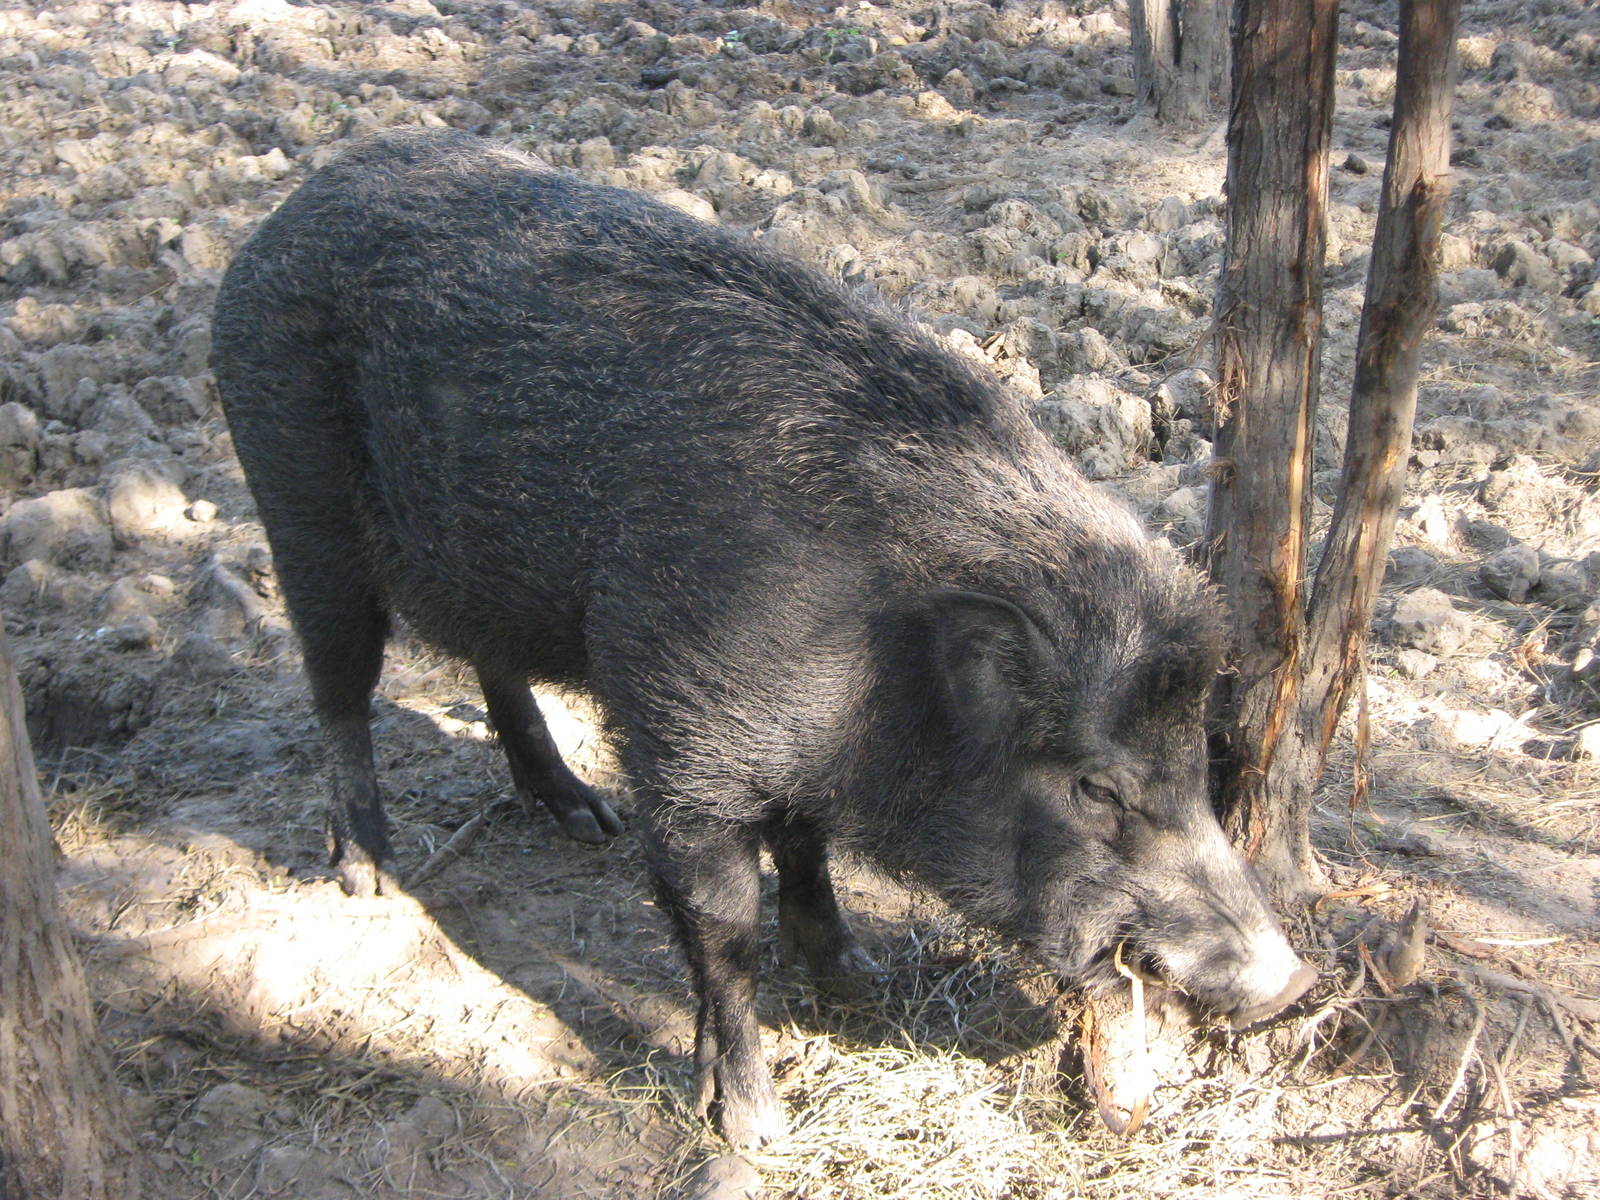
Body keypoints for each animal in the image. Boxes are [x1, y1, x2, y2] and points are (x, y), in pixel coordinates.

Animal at [212, 131, 1316, 1148]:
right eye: (1094, 785)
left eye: (1198, 756)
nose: (1288, 981)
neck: (871, 663)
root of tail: (280, 219)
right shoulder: (678, 741)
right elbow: (723, 926)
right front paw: (749, 1126)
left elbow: (806, 845)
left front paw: (856, 980)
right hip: (297, 501)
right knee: (338, 683)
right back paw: (367, 872)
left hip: (477, 562)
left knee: (493, 665)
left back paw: (581, 817)